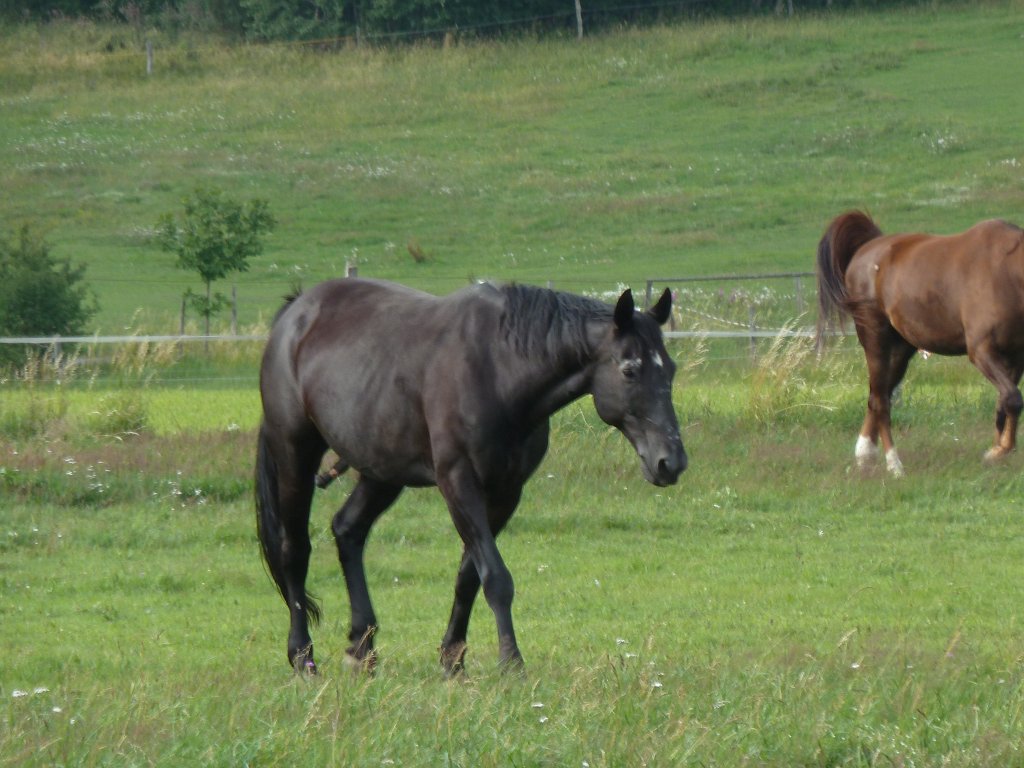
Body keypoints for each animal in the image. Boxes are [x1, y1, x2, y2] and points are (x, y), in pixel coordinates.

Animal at [255, 278, 687, 674]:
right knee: (294, 550)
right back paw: (303, 656)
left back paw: (362, 646)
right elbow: (496, 577)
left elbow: (469, 577)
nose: (671, 461)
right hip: (295, 454)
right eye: (630, 370)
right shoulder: (458, 482)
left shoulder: (506, 492)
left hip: (382, 470)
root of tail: (297, 312)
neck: (498, 369)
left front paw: (452, 659)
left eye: (671, 369)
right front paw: (511, 664)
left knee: (348, 530)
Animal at [815, 210, 1024, 476]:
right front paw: (1000, 450)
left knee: (877, 395)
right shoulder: (981, 351)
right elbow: (1013, 399)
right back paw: (894, 465)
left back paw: (865, 455)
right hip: (876, 341)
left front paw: (997, 448)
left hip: (901, 352)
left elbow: (1005, 401)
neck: (1007, 272)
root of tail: (869, 247)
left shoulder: (1016, 356)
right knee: (881, 402)